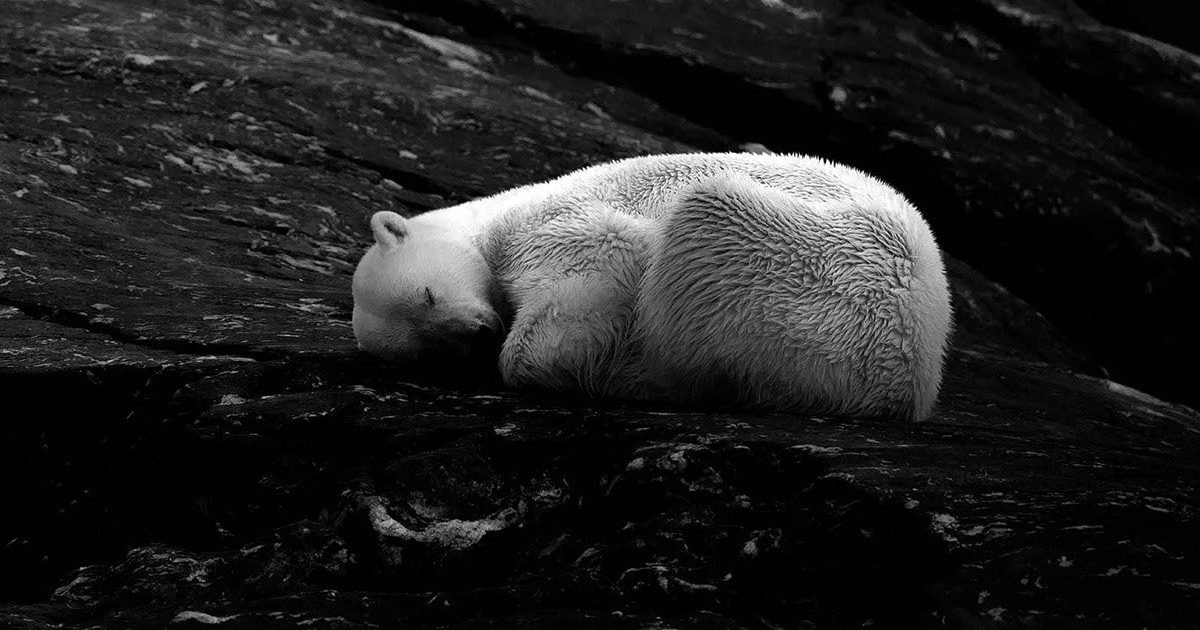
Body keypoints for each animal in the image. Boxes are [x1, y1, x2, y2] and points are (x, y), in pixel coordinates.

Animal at [350, 151, 950, 420]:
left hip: (814, 272)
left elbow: (607, 258)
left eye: (427, 295)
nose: (477, 334)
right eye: (426, 347)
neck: (494, 218)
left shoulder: (550, 227)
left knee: (708, 217)